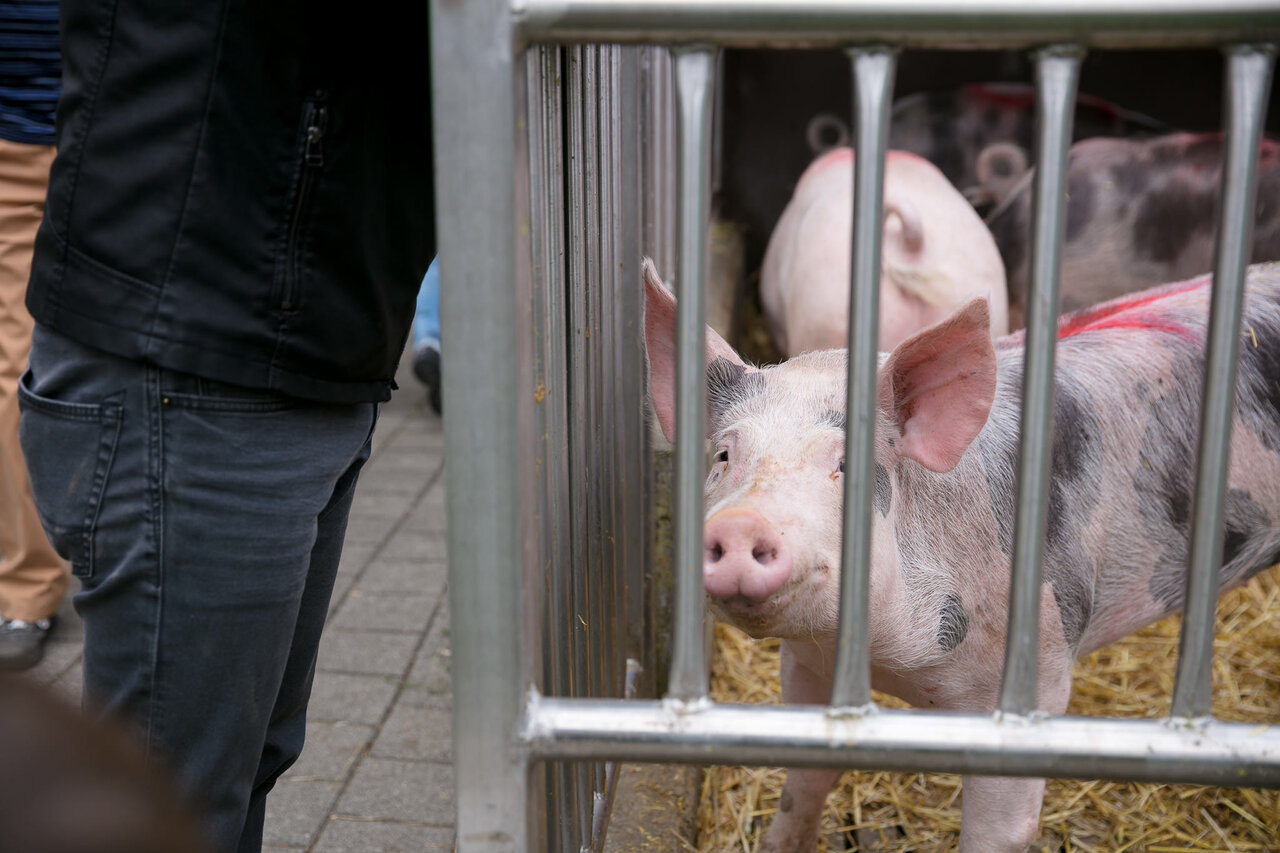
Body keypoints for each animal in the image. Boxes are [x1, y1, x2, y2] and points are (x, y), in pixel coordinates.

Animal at [642, 257, 1280, 853]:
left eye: (846, 464)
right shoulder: (806, 664)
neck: (893, 664)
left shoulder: (1038, 680)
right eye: (724, 455)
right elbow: (806, 782)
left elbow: (1000, 831)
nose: (742, 523)